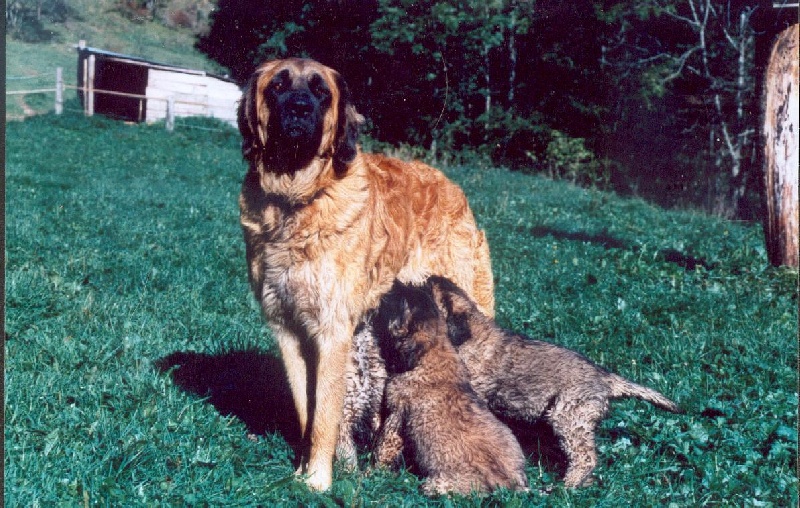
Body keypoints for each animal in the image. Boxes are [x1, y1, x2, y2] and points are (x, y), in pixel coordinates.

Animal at [236, 57, 494, 490]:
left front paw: (318, 480)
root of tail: (452, 186)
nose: (299, 109)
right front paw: (304, 469)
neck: (297, 199)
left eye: (320, 91)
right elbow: (307, 410)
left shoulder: (333, 331)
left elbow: (325, 415)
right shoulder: (286, 329)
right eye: (278, 86)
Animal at [374, 284, 532, 498]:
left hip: (440, 483)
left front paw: (373, 470)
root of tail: (507, 484)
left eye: (401, 299)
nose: (392, 286)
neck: (435, 349)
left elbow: (388, 440)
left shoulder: (398, 407)